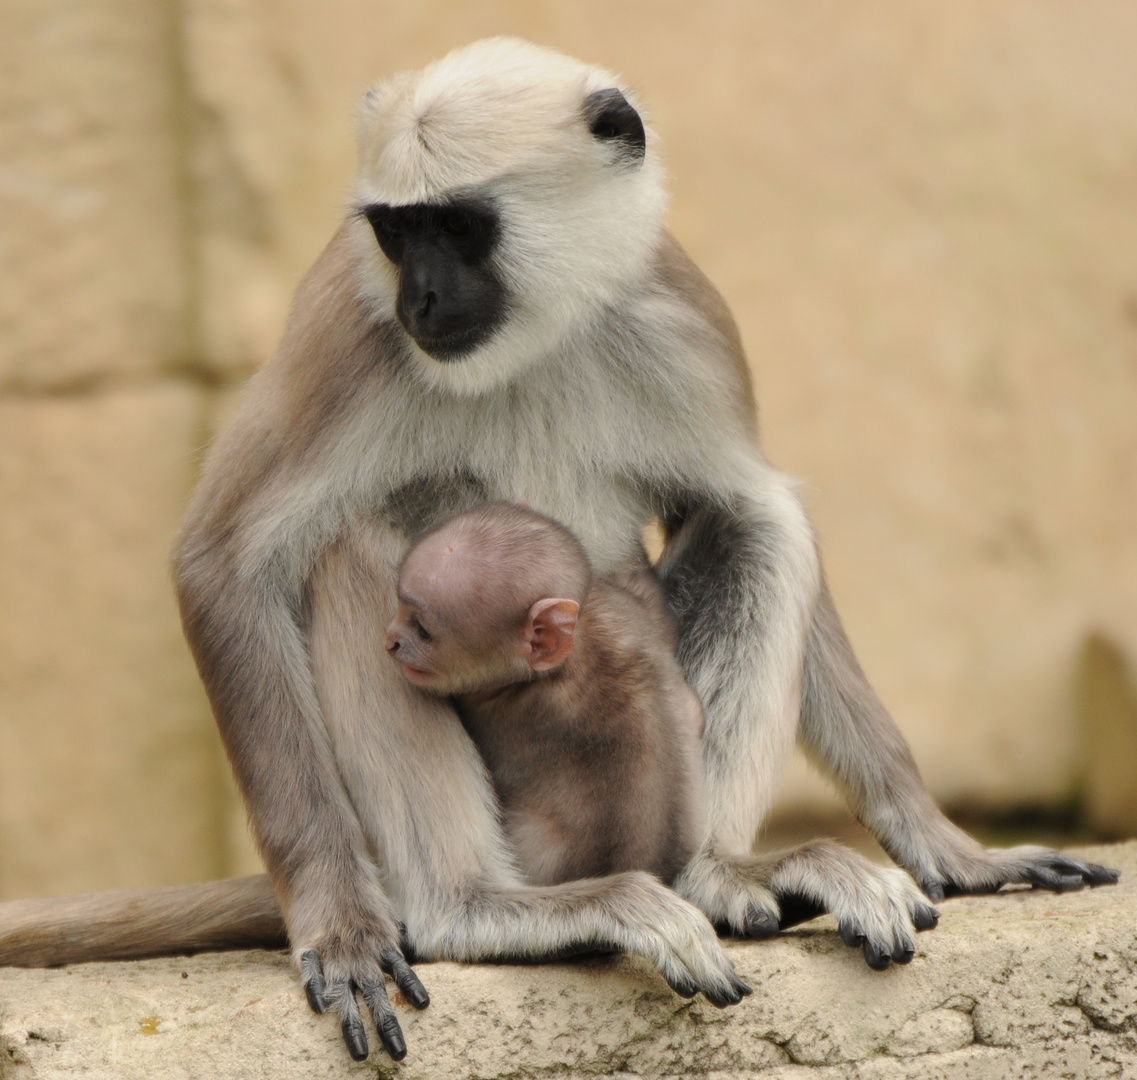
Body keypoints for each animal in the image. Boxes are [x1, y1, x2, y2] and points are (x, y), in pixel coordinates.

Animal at [386, 504, 704, 886]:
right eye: (399, 605)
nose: (392, 639)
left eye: (422, 630)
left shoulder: (501, 710)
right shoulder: (622, 608)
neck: (574, 648)